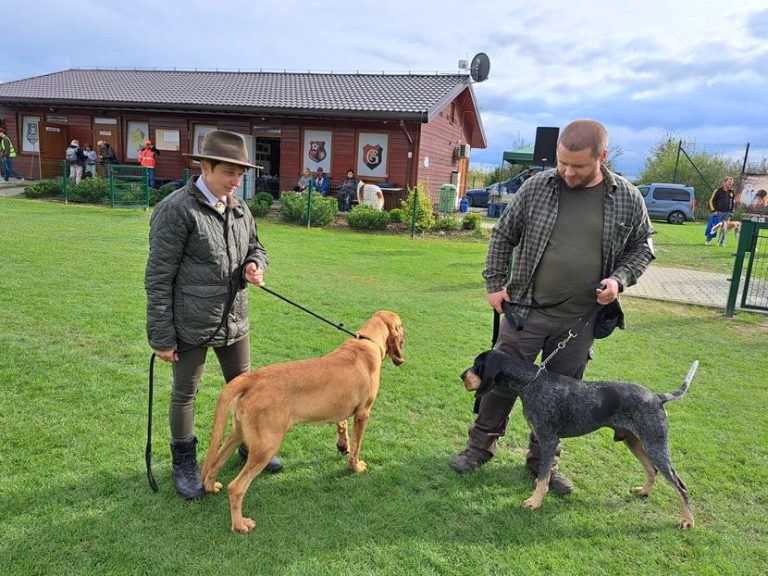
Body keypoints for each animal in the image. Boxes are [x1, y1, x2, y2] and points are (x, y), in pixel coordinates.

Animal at [198, 312, 404, 532]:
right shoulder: (363, 414)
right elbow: (357, 446)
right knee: (236, 487)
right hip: (266, 446)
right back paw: (240, 524)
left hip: (238, 433)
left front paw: (342, 446)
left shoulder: (341, 408)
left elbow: (342, 426)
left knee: (215, 462)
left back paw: (211, 486)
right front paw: (355, 467)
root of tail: (252, 378)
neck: (367, 341)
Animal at [460, 348, 700, 528]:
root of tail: (658, 398)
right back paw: (643, 492)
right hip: (634, 442)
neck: (531, 383)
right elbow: (542, 474)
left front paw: (535, 502)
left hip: (655, 445)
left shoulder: (548, 440)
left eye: (477, 364)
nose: (462, 376)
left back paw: (686, 520)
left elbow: (543, 476)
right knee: (652, 470)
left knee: (680, 485)